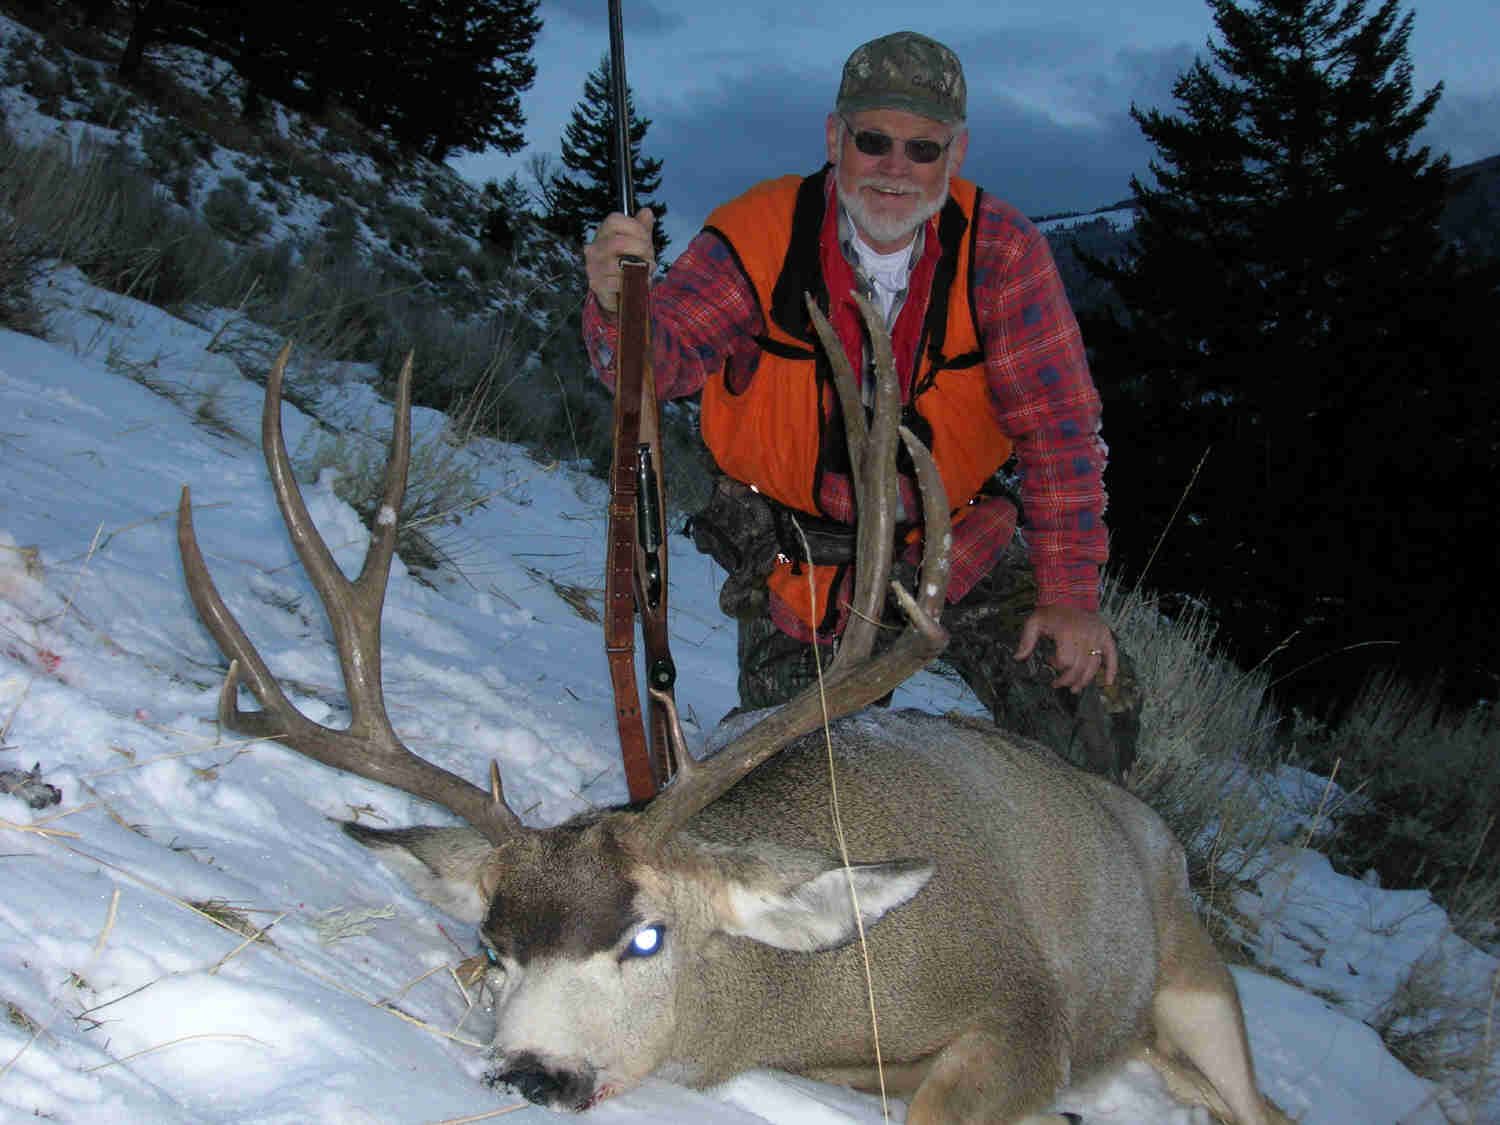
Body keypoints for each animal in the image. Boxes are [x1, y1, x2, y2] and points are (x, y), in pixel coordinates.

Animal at [174, 296, 1285, 1125]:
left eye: (646, 938)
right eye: (496, 947)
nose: (533, 1072)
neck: (815, 994)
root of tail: (1147, 826)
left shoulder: (1026, 1012)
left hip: (1198, 979)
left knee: (1260, 1103)